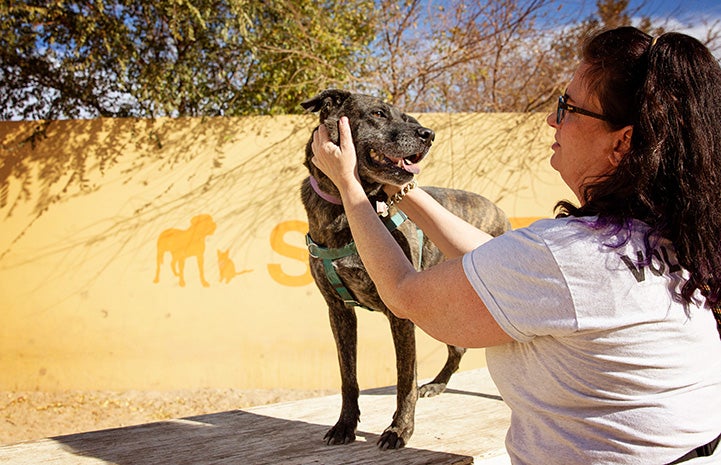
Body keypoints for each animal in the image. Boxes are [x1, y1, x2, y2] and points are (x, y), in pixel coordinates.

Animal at [300, 89, 510, 448]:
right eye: (378, 113)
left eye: (407, 118)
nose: (429, 134)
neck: (346, 208)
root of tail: (499, 211)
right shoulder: (339, 311)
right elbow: (348, 377)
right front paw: (345, 425)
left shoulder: (400, 313)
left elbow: (404, 378)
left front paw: (399, 429)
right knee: (457, 347)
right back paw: (438, 384)